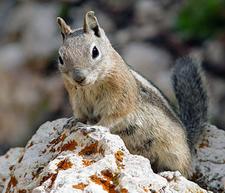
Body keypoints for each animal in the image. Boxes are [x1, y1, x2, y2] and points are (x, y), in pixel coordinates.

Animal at [55, 10, 207, 176]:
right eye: (60, 58)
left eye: (95, 52)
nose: (79, 78)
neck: (90, 86)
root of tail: (189, 143)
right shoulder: (77, 100)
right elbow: (80, 114)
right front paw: (72, 121)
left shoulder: (120, 99)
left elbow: (112, 117)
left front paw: (94, 127)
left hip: (174, 153)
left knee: (183, 170)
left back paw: (170, 174)